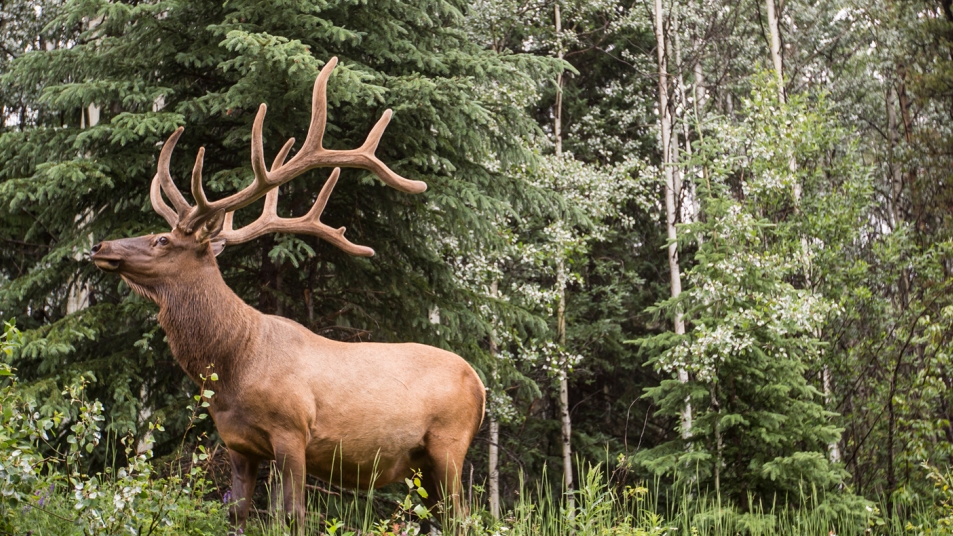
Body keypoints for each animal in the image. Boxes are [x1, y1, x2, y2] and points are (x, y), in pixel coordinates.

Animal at [89, 58, 484, 532]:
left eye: (162, 240)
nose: (100, 246)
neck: (233, 362)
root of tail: (481, 386)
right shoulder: (238, 443)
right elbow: (237, 513)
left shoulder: (292, 431)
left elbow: (291, 515)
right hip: (425, 461)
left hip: (449, 442)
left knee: (465, 517)